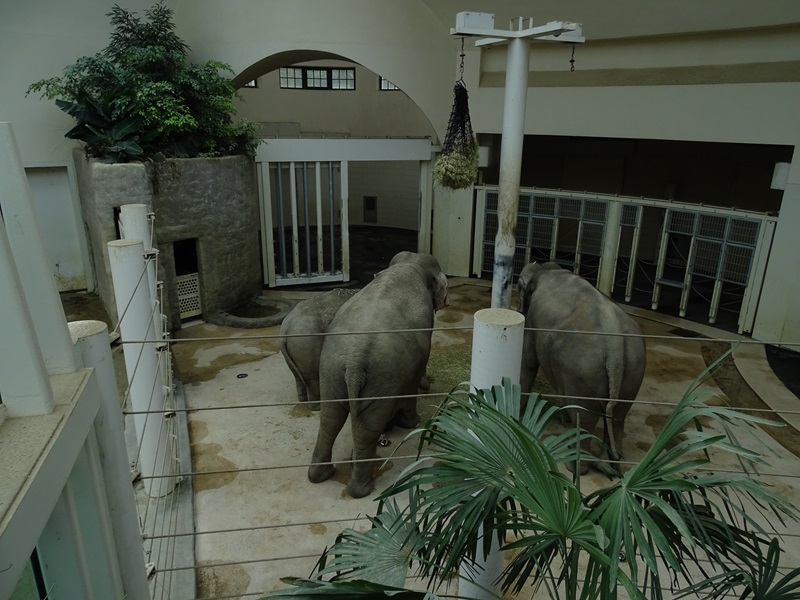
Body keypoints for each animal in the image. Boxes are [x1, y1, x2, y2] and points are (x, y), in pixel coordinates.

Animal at [307, 251, 449, 498]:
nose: (428, 385)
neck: (409, 265)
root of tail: (355, 359)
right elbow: (413, 382)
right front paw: (412, 423)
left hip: (331, 369)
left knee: (330, 419)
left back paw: (321, 475)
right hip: (382, 377)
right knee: (367, 428)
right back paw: (363, 488)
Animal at [517, 261, 646, 475]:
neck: (546, 269)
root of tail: (615, 344)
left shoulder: (533, 319)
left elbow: (528, 360)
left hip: (581, 372)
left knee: (583, 417)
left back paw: (575, 467)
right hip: (633, 369)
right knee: (618, 416)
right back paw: (608, 466)